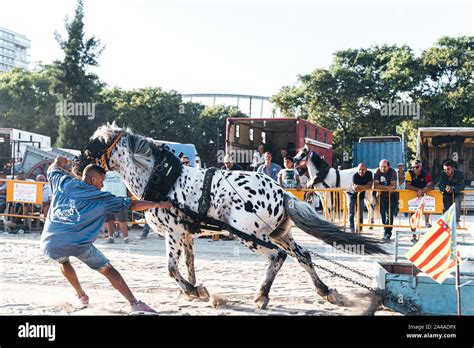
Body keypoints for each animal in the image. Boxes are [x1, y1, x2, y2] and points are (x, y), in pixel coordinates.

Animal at [72, 123, 386, 308]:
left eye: (94, 144)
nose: (75, 165)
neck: (161, 180)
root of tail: (281, 191)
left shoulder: (174, 234)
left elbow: (171, 269)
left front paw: (192, 290)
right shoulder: (187, 235)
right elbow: (190, 265)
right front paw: (196, 289)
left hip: (251, 236)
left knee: (277, 258)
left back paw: (262, 296)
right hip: (279, 234)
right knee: (304, 256)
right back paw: (325, 291)